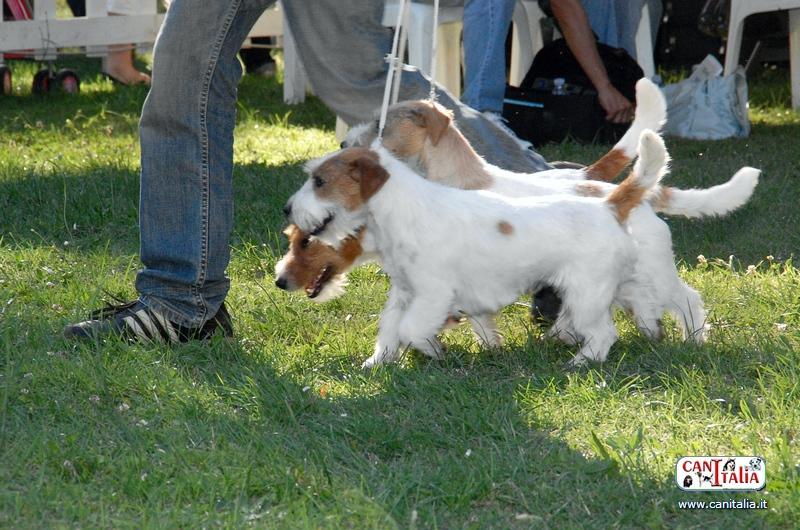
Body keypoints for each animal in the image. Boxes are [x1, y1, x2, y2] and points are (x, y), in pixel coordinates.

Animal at [288, 130, 668, 366]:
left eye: (319, 181)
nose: (286, 209)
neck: (403, 210)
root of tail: (610, 205)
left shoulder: (432, 293)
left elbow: (410, 329)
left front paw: (433, 350)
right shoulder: (404, 292)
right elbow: (390, 328)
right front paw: (377, 363)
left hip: (587, 295)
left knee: (604, 333)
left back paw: (579, 363)